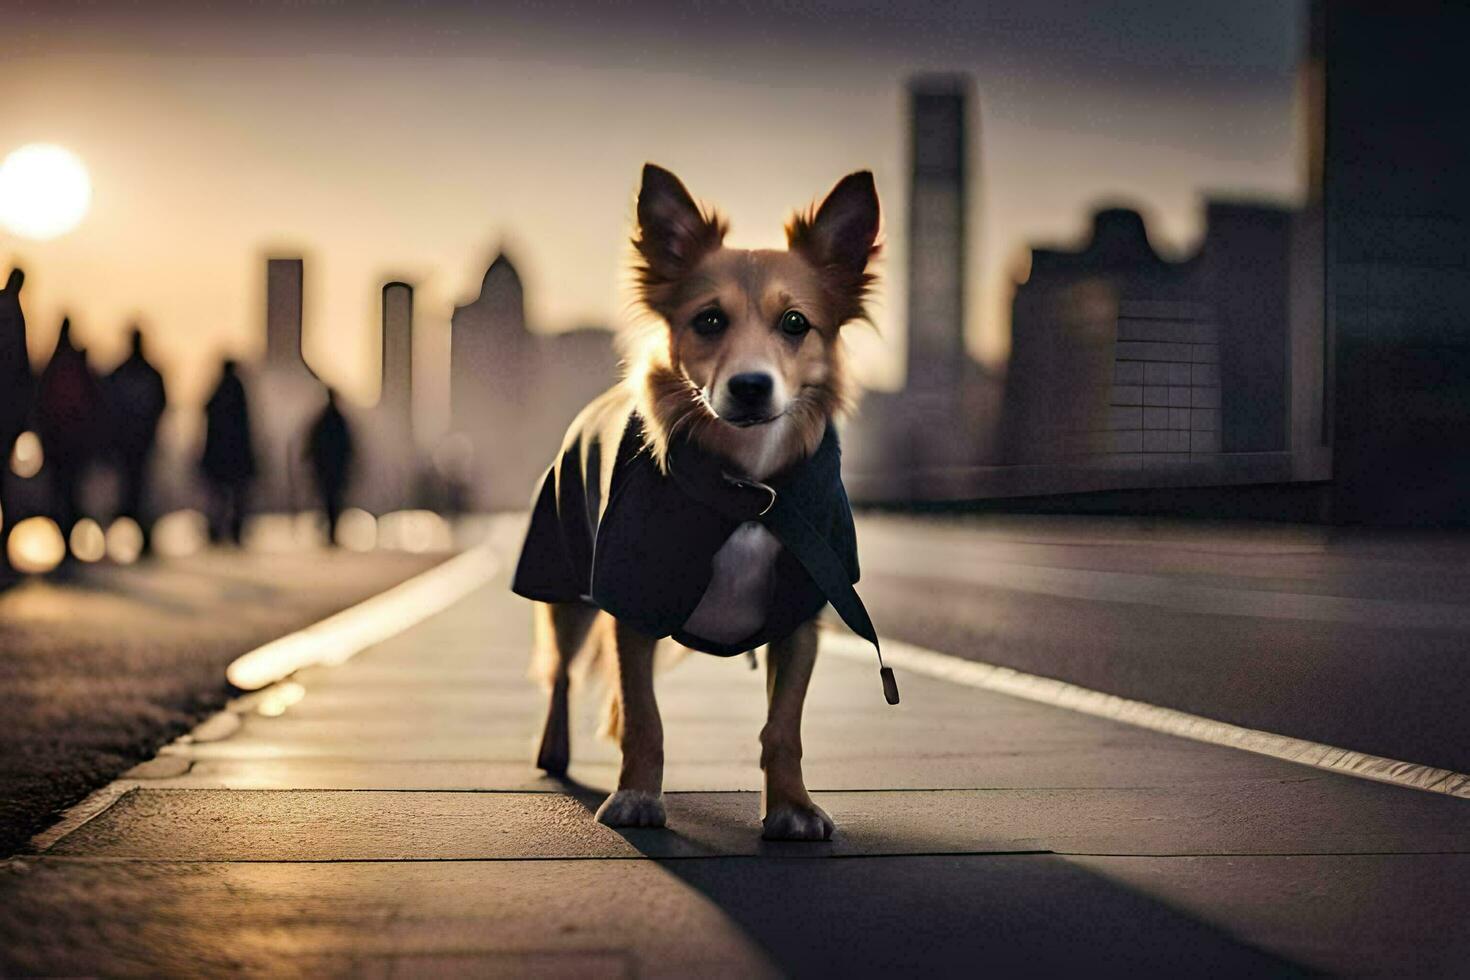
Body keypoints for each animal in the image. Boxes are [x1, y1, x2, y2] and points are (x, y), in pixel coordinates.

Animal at [511, 163, 887, 846]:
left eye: (796, 324)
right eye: (709, 321)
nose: (750, 386)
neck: (747, 490)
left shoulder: (801, 612)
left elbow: (783, 728)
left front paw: (792, 807)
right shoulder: (631, 602)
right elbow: (644, 718)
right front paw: (636, 796)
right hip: (564, 585)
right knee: (560, 671)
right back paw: (553, 752)